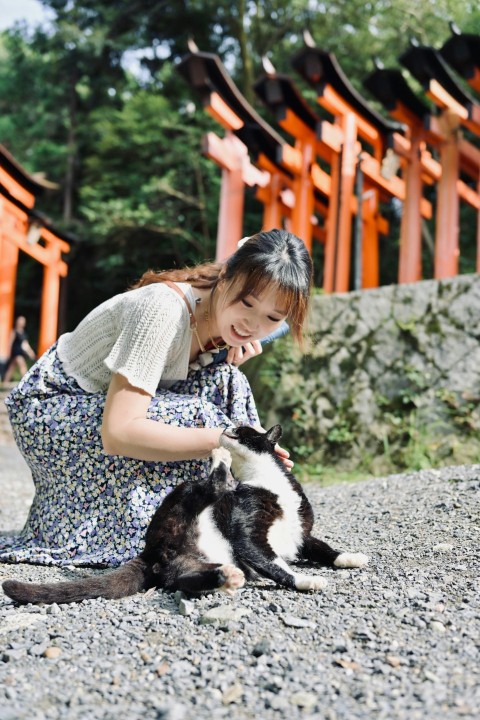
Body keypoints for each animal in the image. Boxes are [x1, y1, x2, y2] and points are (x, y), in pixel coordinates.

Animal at [2, 424, 368, 604]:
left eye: (244, 429)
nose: (230, 424)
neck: (264, 478)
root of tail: (150, 550)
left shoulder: (300, 533)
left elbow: (323, 547)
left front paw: (350, 557)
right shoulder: (249, 531)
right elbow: (273, 561)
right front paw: (307, 580)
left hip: (187, 562)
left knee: (185, 579)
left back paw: (228, 577)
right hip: (183, 498)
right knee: (210, 489)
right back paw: (219, 463)